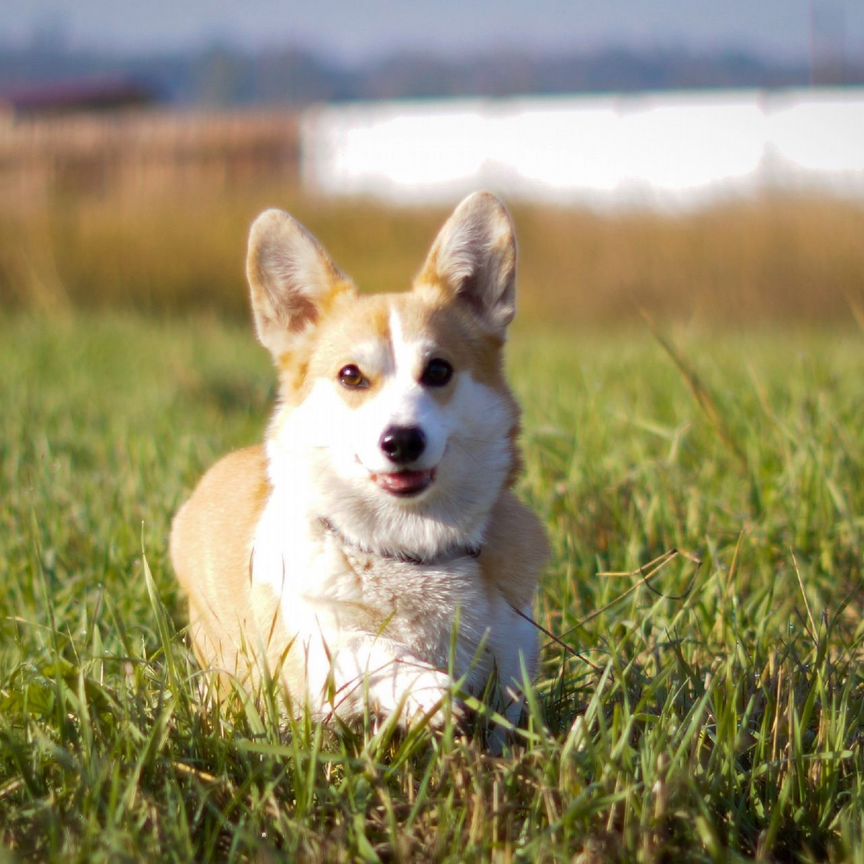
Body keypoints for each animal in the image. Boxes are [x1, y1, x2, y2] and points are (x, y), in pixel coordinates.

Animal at [170, 192, 548, 740]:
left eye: (439, 370)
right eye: (351, 376)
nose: (401, 441)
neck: (406, 547)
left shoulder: (515, 649)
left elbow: (510, 721)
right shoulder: (314, 645)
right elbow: (371, 650)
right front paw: (427, 692)